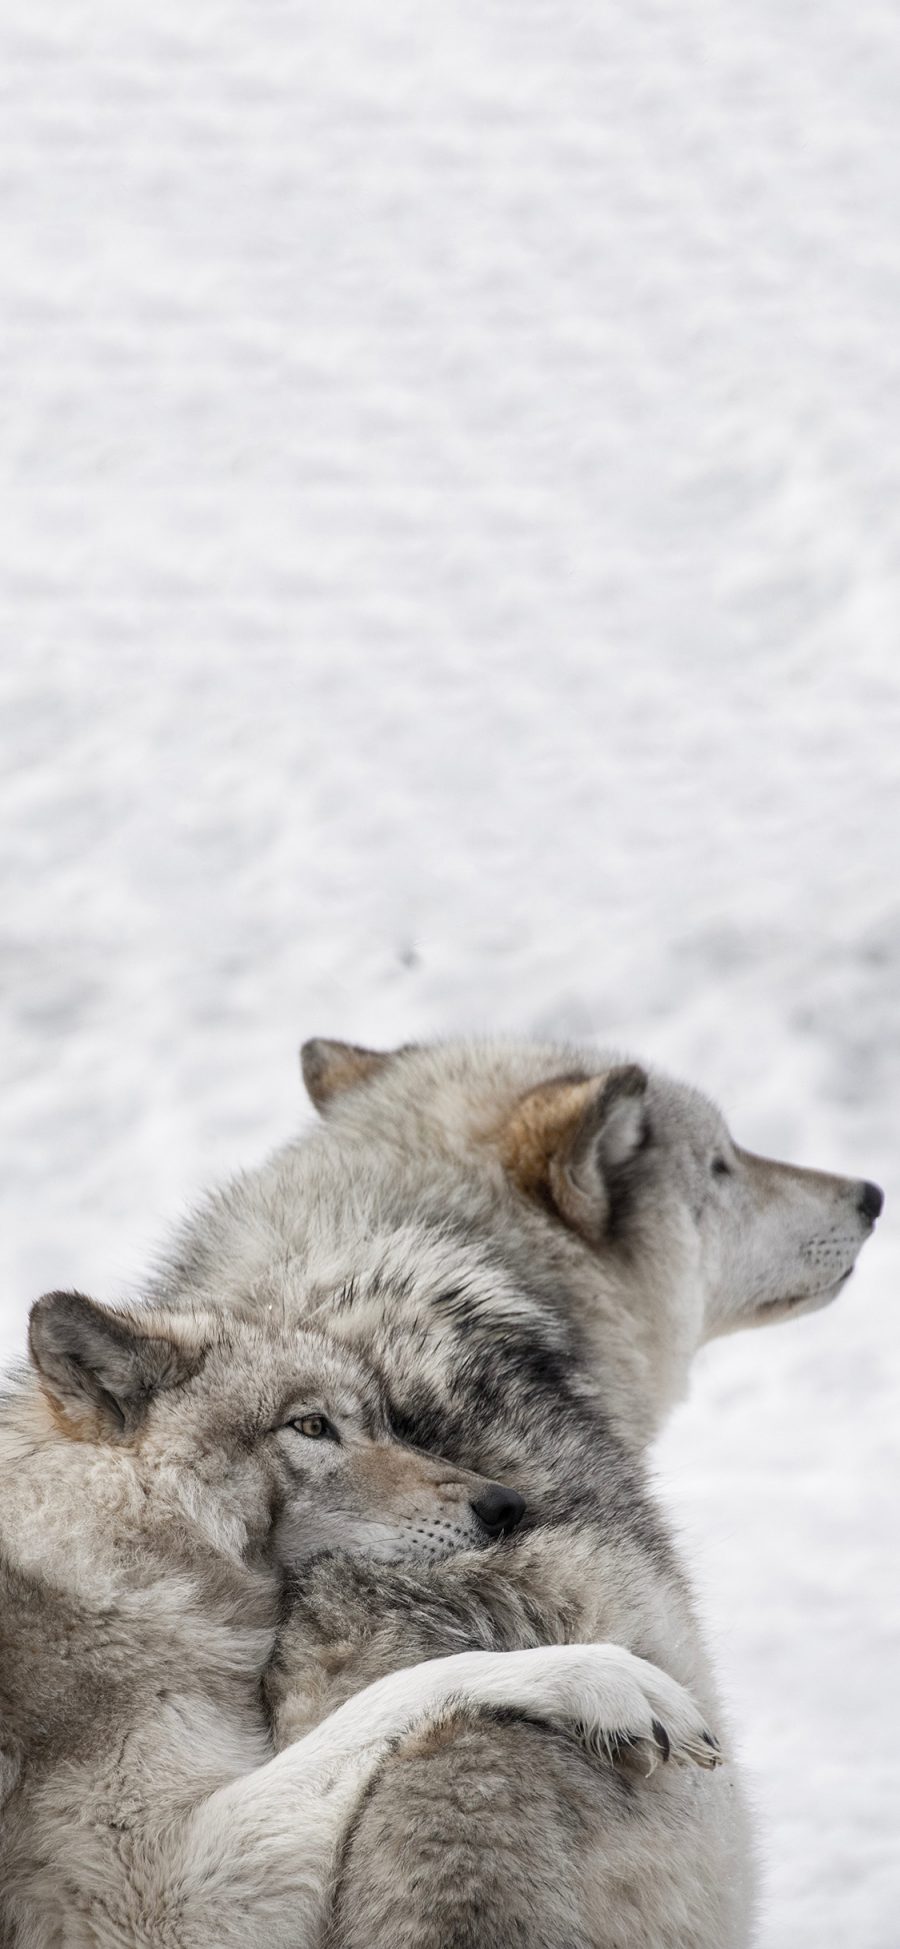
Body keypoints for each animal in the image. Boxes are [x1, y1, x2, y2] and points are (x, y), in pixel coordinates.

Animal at [0, 1286, 716, 1941]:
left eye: (388, 1425)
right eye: (313, 1426)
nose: (506, 1505)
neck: (115, 1539)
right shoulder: (158, 1901)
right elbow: (404, 1687)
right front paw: (604, 1679)